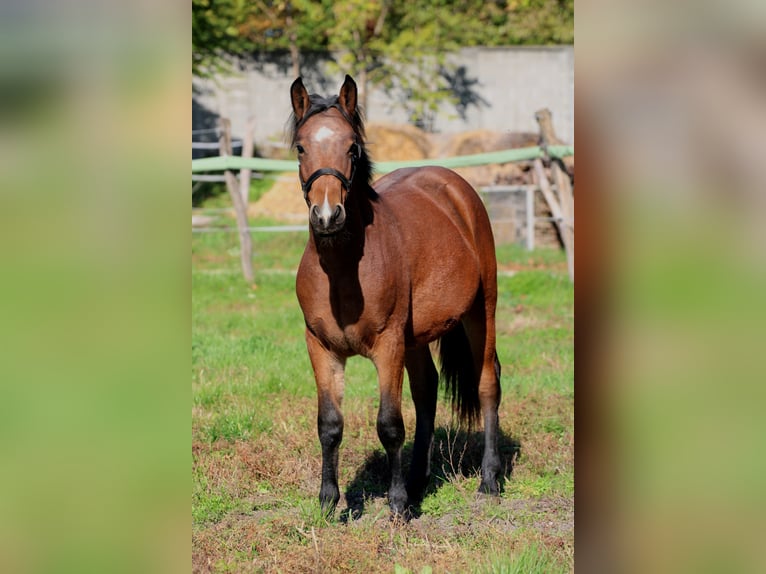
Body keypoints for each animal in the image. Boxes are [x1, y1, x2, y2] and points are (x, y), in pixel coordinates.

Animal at [290, 74, 504, 520]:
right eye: (301, 147)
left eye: (351, 146)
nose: (327, 215)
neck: (344, 272)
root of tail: (455, 188)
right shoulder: (320, 347)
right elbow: (329, 424)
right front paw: (328, 501)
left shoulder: (388, 345)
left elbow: (389, 424)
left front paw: (399, 504)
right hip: (416, 337)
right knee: (427, 388)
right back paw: (420, 478)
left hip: (482, 310)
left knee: (487, 383)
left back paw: (489, 481)